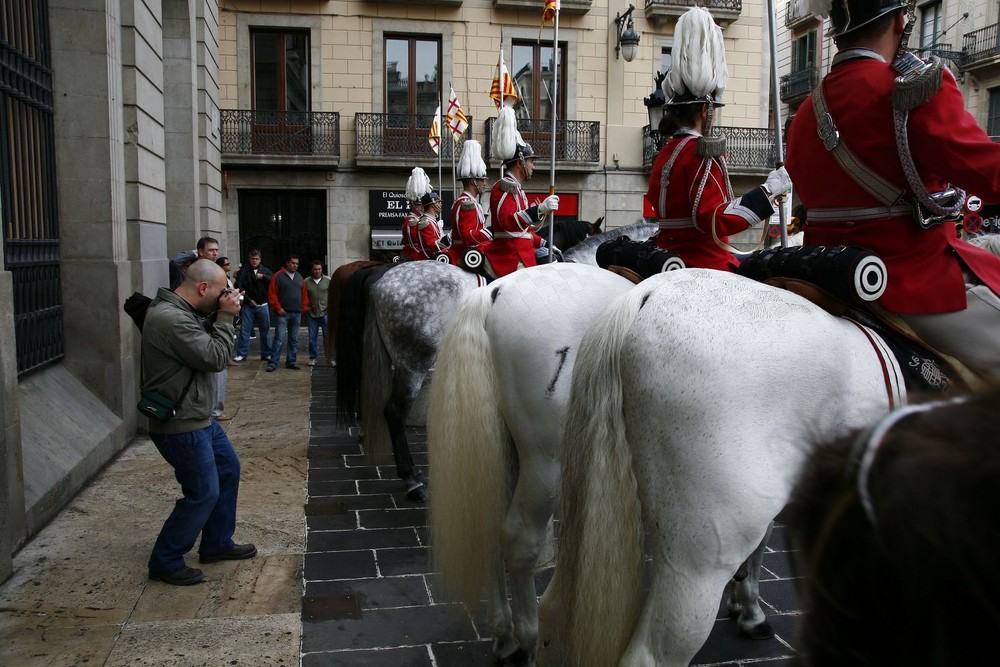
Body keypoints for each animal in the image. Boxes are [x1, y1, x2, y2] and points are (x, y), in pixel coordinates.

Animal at [428, 264, 632, 664]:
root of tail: (493, 294)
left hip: (505, 456)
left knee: (490, 524)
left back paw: (504, 634)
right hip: (544, 462)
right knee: (520, 540)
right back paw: (529, 635)